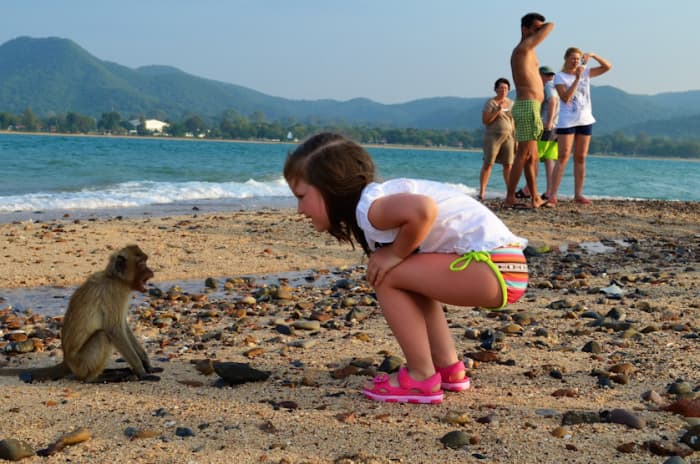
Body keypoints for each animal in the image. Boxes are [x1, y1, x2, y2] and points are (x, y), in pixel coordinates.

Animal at [1, 245, 162, 383]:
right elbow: (114, 330)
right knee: (103, 335)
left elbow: (124, 327)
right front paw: (141, 372)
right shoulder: (113, 293)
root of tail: (67, 361)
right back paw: (95, 379)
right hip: (82, 363)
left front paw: (147, 365)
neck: (114, 278)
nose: (151, 272)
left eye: (145, 261)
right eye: (142, 263)